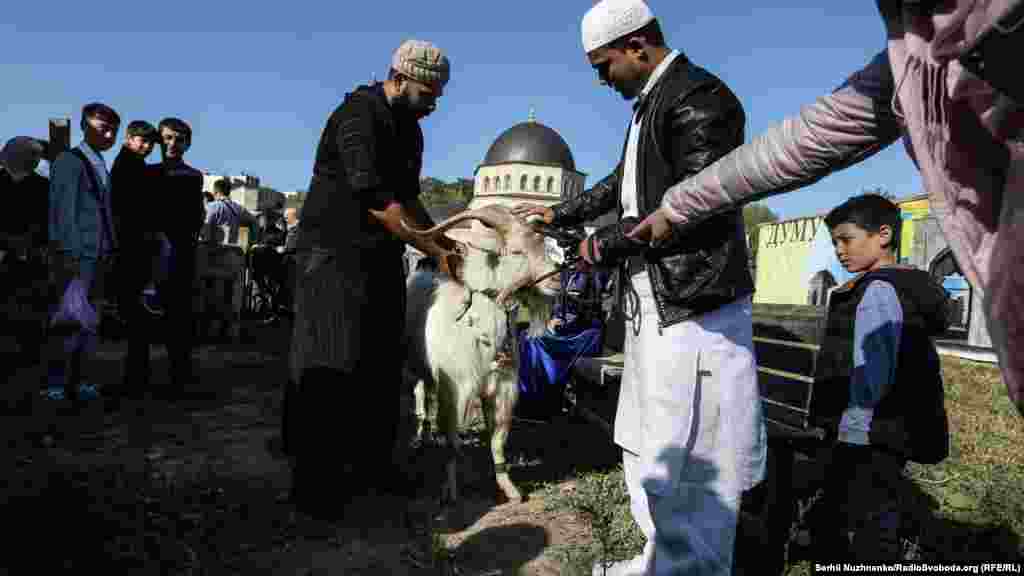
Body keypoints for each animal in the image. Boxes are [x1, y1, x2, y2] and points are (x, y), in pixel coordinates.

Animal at [401, 203, 561, 500]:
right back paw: (419, 436)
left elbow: (497, 442)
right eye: (516, 251)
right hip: (413, 366)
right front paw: (450, 490)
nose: (556, 279)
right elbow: (453, 441)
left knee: (427, 392)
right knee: (420, 395)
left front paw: (509, 488)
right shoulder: (455, 389)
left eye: (541, 243)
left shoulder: (501, 391)